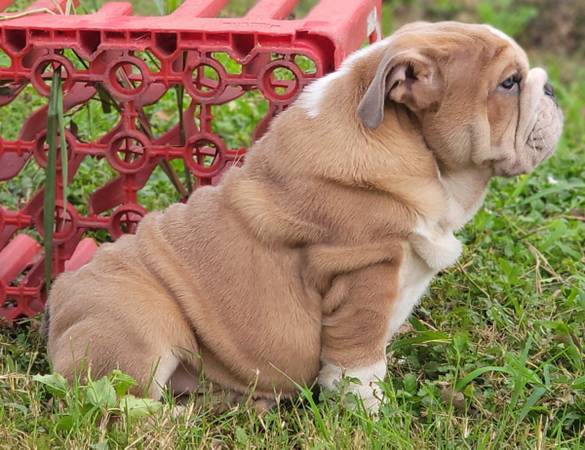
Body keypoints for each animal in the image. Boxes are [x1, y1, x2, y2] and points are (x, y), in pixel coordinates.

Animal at [45, 22, 560, 414]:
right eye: (509, 83)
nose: (551, 86)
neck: (415, 153)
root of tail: (58, 301)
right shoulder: (364, 270)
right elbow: (359, 357)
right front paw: (369, 412)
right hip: (140, 319)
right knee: (112, 402)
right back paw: (178, 418)